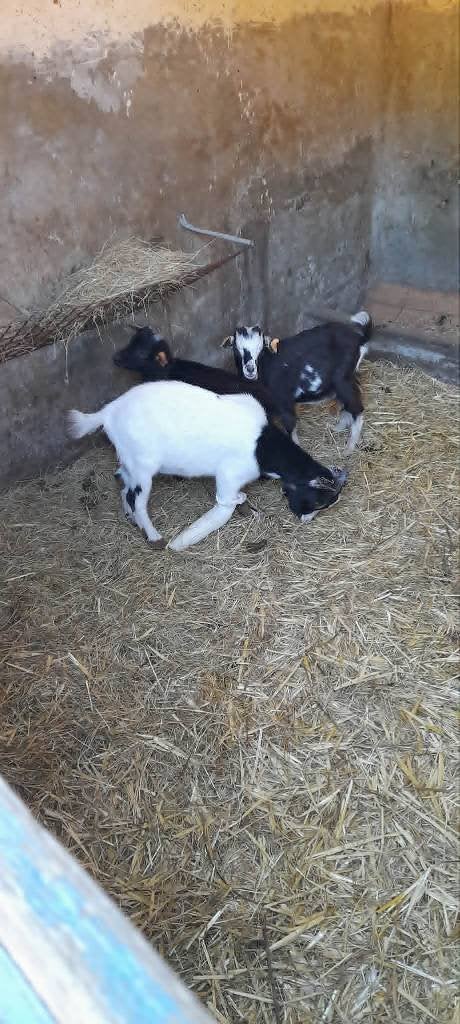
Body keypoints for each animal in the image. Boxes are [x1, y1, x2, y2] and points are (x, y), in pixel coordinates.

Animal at [68, 381, 347, 551]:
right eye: (319, 502)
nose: (305, 520)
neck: (262, 446)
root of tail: (107, 414)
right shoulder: (230, 475)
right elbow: (226, 503)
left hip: (129, 459)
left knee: (122, 481)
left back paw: (130, 518)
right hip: (143, 466)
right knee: (136, 498)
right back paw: (155, 537)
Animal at [223, 312, 373, 452]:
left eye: (260, 349)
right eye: (236, 348)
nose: (250, 370)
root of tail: (360, 339)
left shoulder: (284, 401)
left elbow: (290, 425)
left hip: (342, 380)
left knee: (357, 407)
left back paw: (349, 448)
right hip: (347, 379)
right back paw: (339, 427)